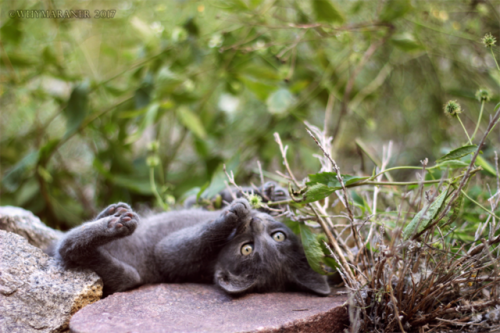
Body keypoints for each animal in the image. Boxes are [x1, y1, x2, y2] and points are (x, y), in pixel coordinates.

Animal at [52, 184, 330, 296]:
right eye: (279, 235)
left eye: (247, 250)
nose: (255, 223)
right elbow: (205, 198)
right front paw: (268, 193)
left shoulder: (172, 257)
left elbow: (189, 240)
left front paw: (232, 214)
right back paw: (114, 212)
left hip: (126, 276)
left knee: (68, 247)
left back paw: (115, 225)